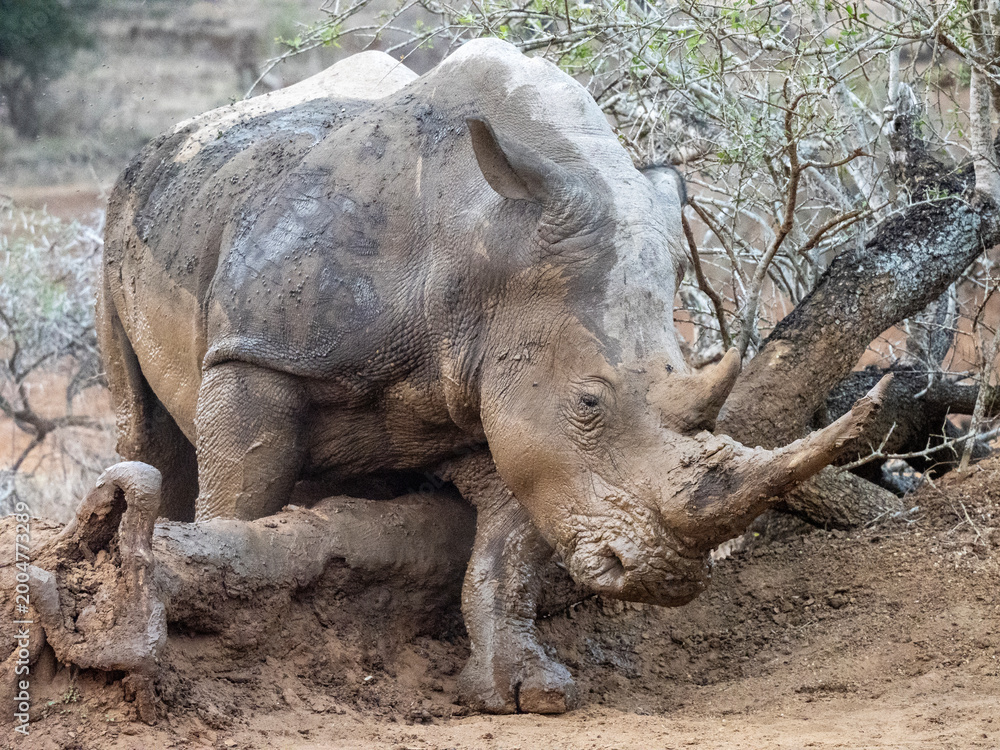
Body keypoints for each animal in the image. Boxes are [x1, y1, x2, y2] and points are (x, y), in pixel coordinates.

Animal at [99, 39, 884, 713]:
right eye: (590, 402)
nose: (666, 576)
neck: (481, 250)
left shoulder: (510, 401)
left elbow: (513, 546)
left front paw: (528, 693)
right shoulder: (256, 355)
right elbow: (242, 494)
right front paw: (224, 622)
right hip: (123, 217)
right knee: (144, 427)